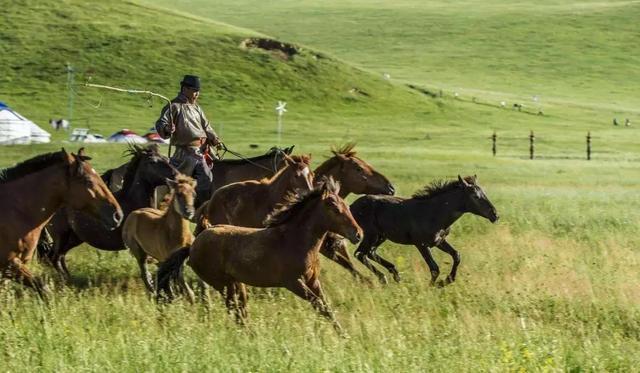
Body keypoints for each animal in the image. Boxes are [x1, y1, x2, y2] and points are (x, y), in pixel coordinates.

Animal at [0, 148, 122, 296]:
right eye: (88, 181)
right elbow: (43, 288)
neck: (17, 211)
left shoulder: (11, 267)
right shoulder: (9, 263)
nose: (118, 215)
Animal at [37, 144, 179, 278]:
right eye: (152, 161)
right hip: (61, 236)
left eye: (166, 158)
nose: (176, 175)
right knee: (53, 258)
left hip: (73, 238)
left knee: (58, 257)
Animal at [158, 179, 362, 330]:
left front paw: (343, 335)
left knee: (240, 310)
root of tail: (193, 245)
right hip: (222, 284)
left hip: (236, 284)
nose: (358, 234)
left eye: (347, 206)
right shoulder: (293, 283)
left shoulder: (313, 281)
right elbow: (318, 304)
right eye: (335, 209)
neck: (295, 240)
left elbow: (326, 307)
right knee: (233, 309)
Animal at [348, 174, 498, 284]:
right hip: (371, 235)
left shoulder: (439, 241)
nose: (495, 215)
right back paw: (384, 277)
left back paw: (395, 274)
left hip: (381, 236)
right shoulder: (421, 244)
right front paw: (434, 286)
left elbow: (457, 255)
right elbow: (434, 268)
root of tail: (351, 207)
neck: (434, 213)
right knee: (360, 254)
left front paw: (448, 280)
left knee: (370, 252)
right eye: (475, 196)